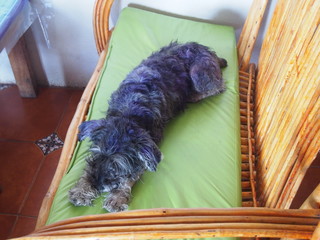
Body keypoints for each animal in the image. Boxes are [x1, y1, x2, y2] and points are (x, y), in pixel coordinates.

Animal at [68, 41, 228, 212]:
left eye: (117, 165)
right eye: (97, 155)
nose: (96, 184)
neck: (128, 111)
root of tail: (207, 49)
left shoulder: (150, 144)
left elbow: (132, 174)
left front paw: (117, 198)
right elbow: (87, 167)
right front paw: (81, 190)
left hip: (199, 74)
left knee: (219, 86)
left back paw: (194, 96)